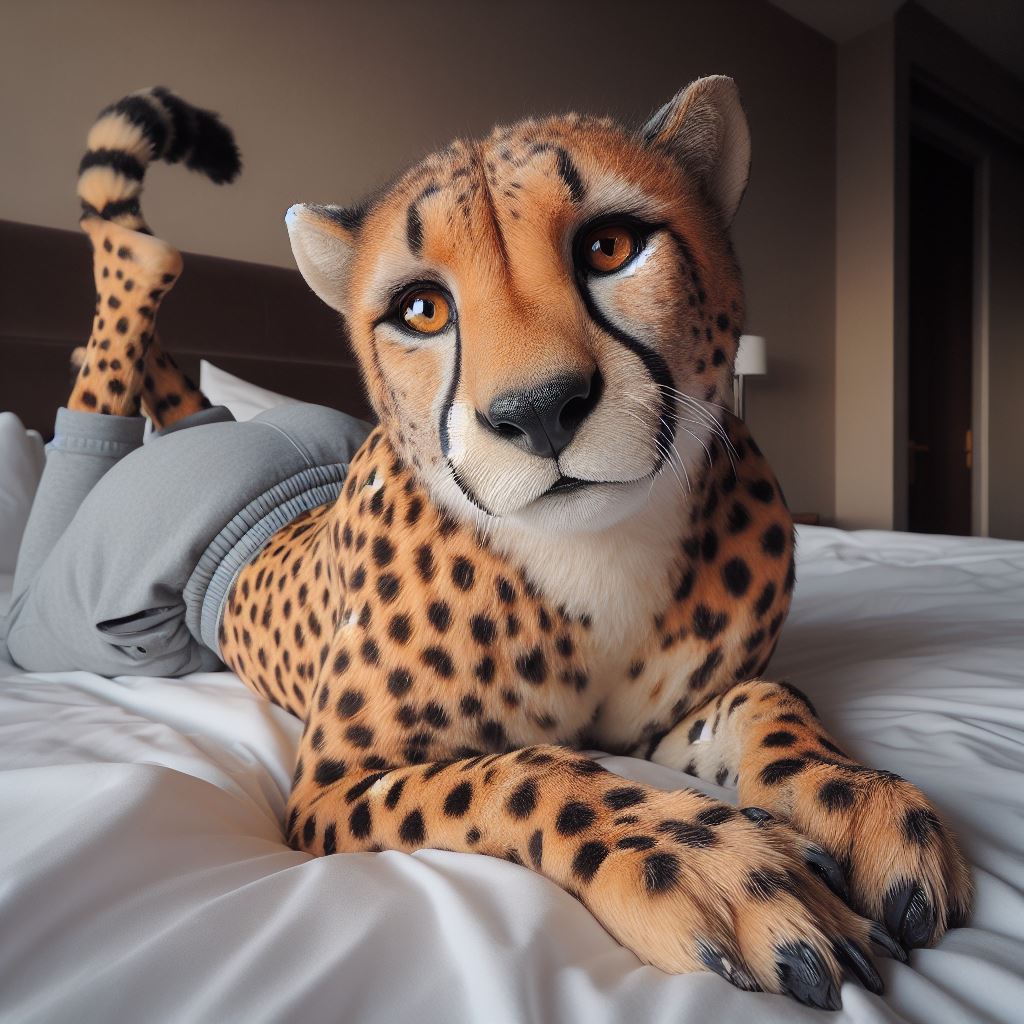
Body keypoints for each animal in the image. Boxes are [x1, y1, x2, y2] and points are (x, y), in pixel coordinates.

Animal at [63, 80, 971, 1010]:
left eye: (610, 247)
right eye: (421, 308)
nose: (538, 410)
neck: (595, 555)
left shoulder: (662, 721)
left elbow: (771, 696)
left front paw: (854, 800)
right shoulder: (328, 789)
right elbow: (519, 771)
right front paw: (709, 865)